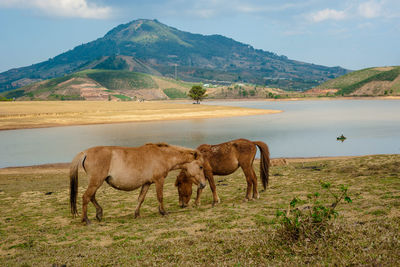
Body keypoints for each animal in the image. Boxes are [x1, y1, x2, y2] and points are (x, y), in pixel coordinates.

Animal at [69, 143, 206, 225]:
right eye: (200, 166)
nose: (203, 184)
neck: (162, 156)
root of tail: (85, 152)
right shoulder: (159, 180)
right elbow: (160, 197)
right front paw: (163, 212)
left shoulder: (147, 183)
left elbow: (141, 199)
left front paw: (137, 214)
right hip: (96, 182)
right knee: (86, 197)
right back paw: (86, 220)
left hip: (96, 182)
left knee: (91, 197)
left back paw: (99, 213)